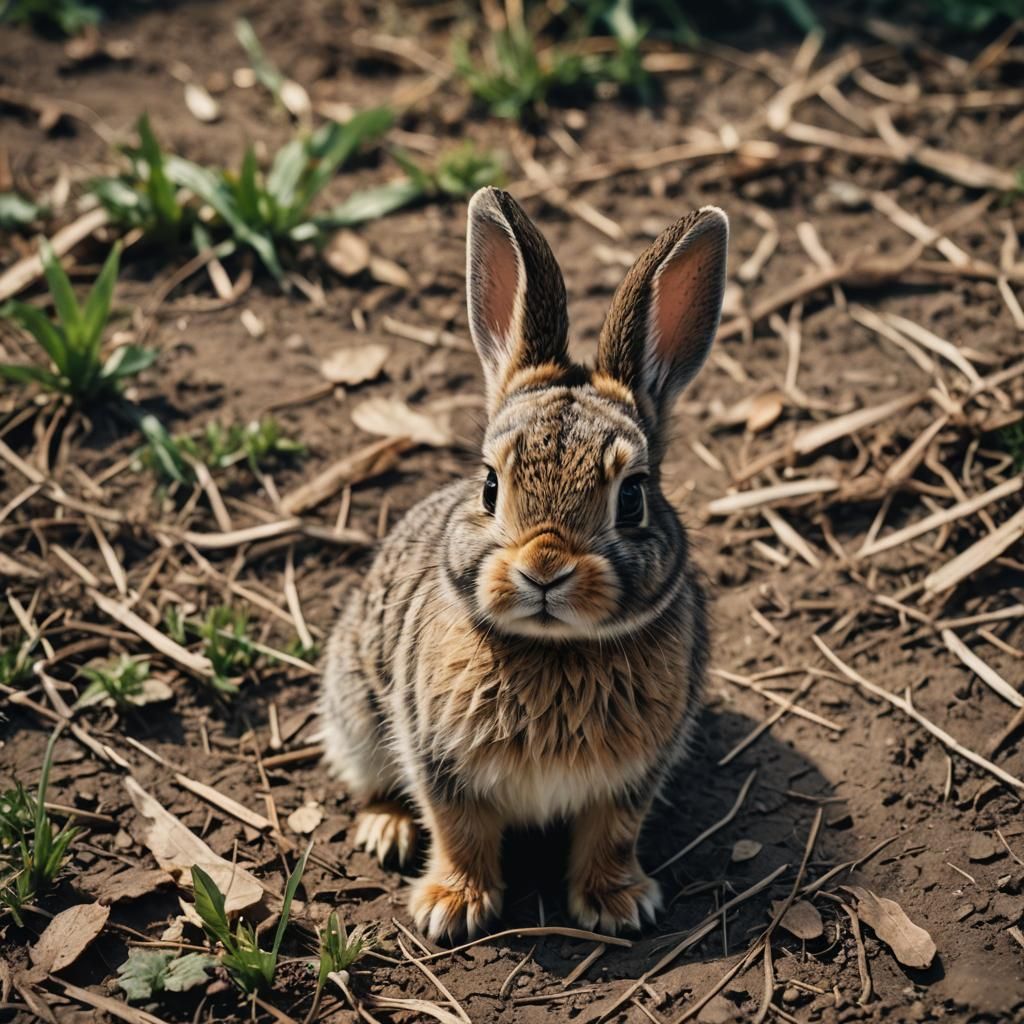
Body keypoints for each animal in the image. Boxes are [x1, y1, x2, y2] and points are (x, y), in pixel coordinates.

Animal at [320, 186, 728, 942]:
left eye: (633, 497)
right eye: (489, 485)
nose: (544, 568)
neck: (554, 648)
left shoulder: (634, 778)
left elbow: (612, 835)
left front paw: (619, 903)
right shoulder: (438, 761)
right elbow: (459, 831)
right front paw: (451, 906)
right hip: (357, 708)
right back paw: (386, 832)